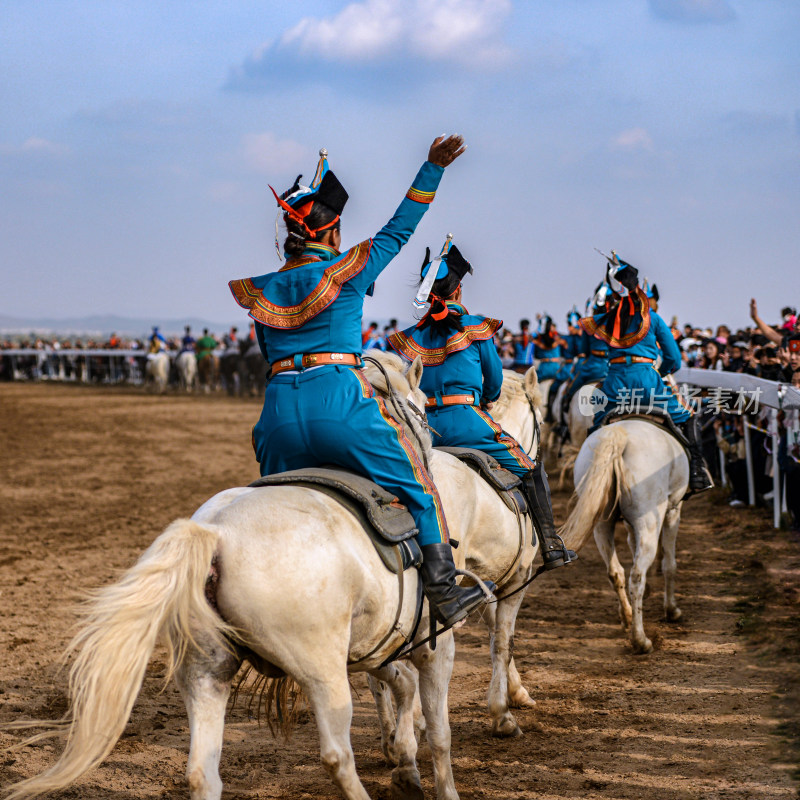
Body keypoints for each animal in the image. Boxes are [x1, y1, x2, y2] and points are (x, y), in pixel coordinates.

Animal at [3, 354, 468, 800]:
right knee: (337, 755)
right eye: (423, 405)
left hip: (207, 671)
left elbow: (401, 685)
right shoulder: (435, 647)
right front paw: (438, 784)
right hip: (321, 672)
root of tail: (217, 533)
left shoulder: (374, 646)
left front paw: (404, 765)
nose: (431, 444)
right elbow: (439, 733)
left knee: (201, 773)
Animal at [556, 422, 688, 652]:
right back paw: (640, 639)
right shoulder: (673, 511)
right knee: (636, 576)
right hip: (649, 521)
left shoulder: (628, 522)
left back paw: (627, 617)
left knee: (615, 571)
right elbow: (669, 564)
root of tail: (619, 435)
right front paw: (672, 610)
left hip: (601, 523)